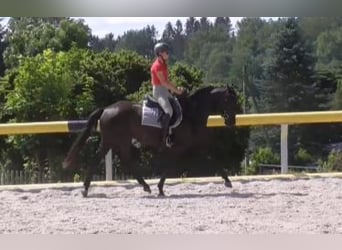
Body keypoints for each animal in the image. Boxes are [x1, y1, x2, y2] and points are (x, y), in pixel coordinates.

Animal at [64, 85, 240, 196]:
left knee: (124, 160)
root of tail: (106, 109)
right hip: (112, 141)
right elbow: (170, 167)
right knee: (101, 159)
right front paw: (161, 189)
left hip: (119, 141)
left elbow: (213, 158)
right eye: (230, 101)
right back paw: (86, 189)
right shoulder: (180, 148)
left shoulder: (199, 144)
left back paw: (144, 186)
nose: (232, 121)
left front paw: (227, 181)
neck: (193, 113)